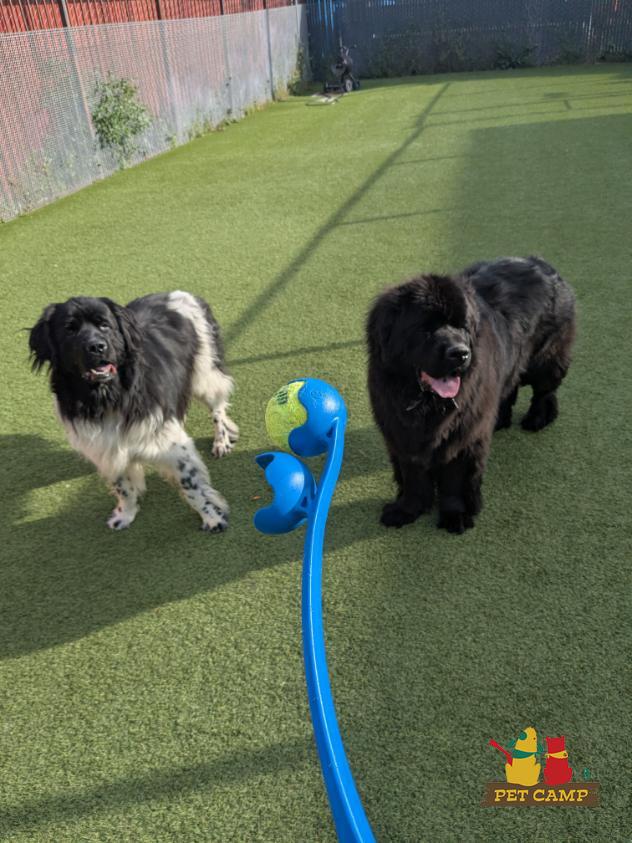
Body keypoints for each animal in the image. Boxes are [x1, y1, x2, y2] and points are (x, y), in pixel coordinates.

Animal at [29, 290, 238, 533]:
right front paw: (125, 515)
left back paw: (221, 440)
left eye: (104, 325)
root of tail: (177, 292)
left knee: (218, 408)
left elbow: (191, 486)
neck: (109, 395)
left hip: (205, 375)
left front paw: (212, 517)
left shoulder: (172, 445)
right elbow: (123, 488)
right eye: (69, 329)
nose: (97, 346)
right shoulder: (106, 448)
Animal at [366, 257, 576, 533]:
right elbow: (412, 475)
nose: (460, 353)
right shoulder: (401, 432)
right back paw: (500, 420)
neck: (426, 403)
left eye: (462, 327)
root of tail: (540, 262)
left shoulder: (464, 436)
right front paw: (406, 509)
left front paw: (456, 515)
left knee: (544, 391)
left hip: (545, 359)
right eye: (425, 329)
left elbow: (456, 479)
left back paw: (537, 418)